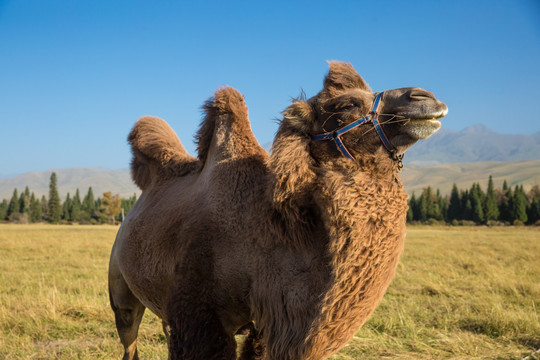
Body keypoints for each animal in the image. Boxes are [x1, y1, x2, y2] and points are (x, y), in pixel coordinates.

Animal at [108, 60, 448, 358]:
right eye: (346, 104)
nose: (425, 97)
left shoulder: (266, 323)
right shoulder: (197, 314)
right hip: (121, 291)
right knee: (129, 340)